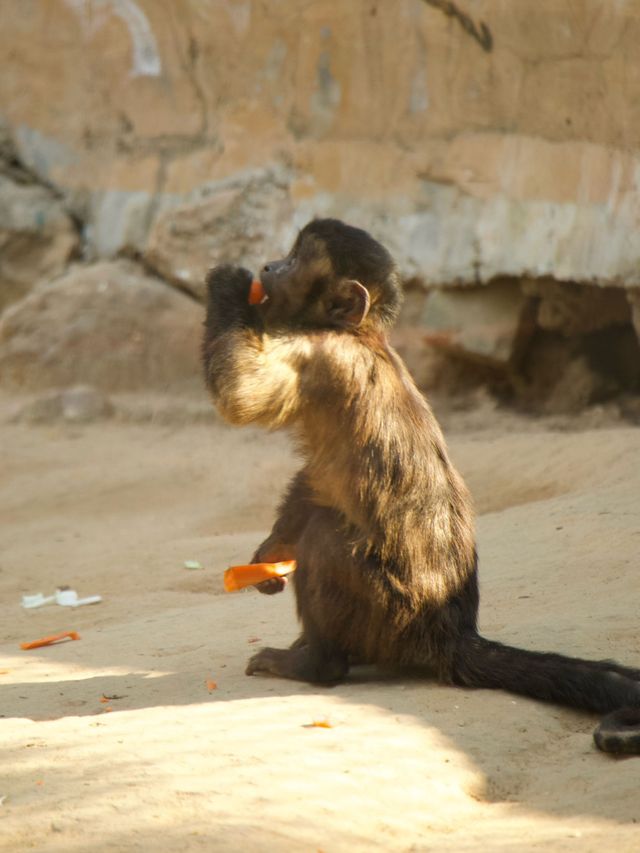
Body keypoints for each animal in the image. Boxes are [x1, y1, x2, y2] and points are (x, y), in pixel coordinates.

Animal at [202, 218, 640, 752]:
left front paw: (228, 282)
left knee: (325, 537)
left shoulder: (322, 353)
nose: (267, 267)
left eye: (293, 261)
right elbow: (317, 478)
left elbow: (240, 397)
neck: (359, 335)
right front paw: (270, 553)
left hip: (390, 611)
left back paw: (317, 664)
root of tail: (450, 629)